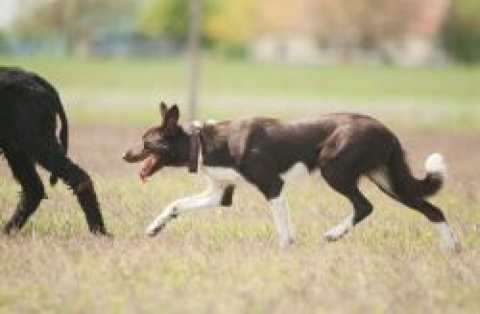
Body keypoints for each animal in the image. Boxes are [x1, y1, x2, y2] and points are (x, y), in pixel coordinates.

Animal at [0, 67, 107, 234]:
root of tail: (37, 80)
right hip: (16, 147)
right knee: (33, 189)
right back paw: (8, 230)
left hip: (37, 141)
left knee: (79, 178)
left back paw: (99, 231)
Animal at [122, 102, 460, 250]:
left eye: (146, 142)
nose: (125, 155)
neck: (203, 142)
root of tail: (387, 130)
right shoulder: (220, 194)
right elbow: (176, 204)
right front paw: (155, 228)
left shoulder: (272, 186)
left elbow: (284, 231)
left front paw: (286, 251)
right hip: (390, 182)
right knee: (432, 209)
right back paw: (453, 248)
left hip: (334, 170)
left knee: (364, 206)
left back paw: (333, 234)